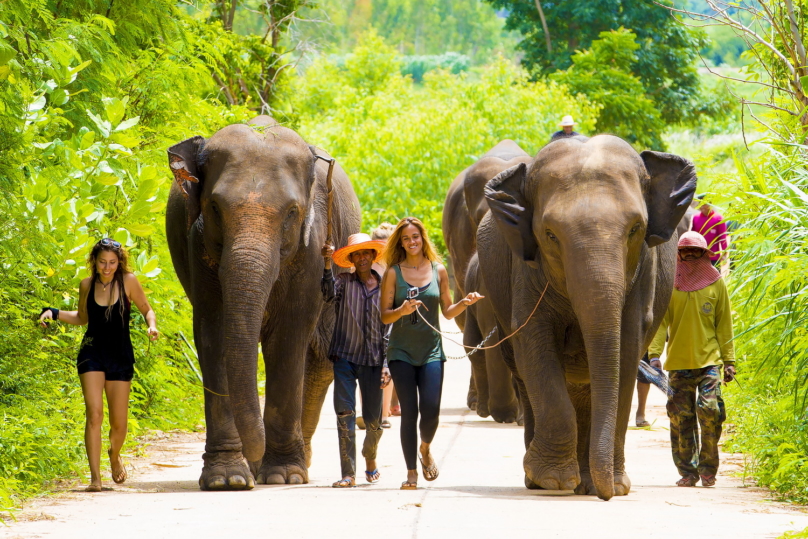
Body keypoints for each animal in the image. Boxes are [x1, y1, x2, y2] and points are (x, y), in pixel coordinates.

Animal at [164, 116, 360, 492]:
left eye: (292, 212)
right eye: (214, 208)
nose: (255, 452)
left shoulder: (312, 247)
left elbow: (287, 339)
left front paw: (283, 475)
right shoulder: (199, 244)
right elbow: (214, 334)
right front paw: (227, 480)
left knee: (321, 356)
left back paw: (298, 464)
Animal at [476, 135, 696, 502]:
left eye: (635, 229)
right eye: (550, 235)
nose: (607, 497)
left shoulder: (644, 272)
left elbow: (626, 349)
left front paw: (613, 485)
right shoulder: (525, 272)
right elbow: (535, 344)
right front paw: (554, 481)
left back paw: (583, 481)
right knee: (526, 375)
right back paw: (544, 480)